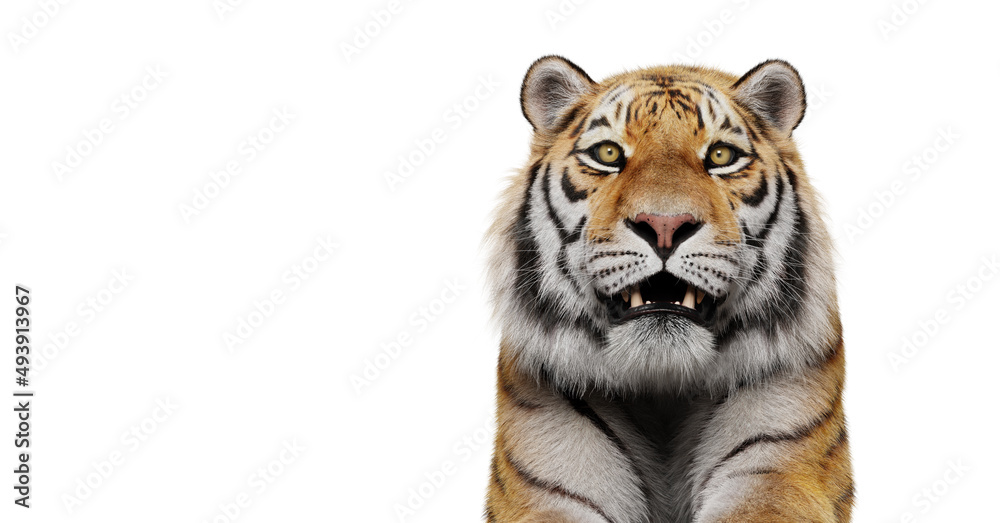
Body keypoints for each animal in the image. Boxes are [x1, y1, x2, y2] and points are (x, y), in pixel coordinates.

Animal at [484, 56, 852, 523]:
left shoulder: (776, 467)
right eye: (608, 154)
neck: (663, 389)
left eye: (720, 155)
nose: (664, 225)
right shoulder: (548, 479)